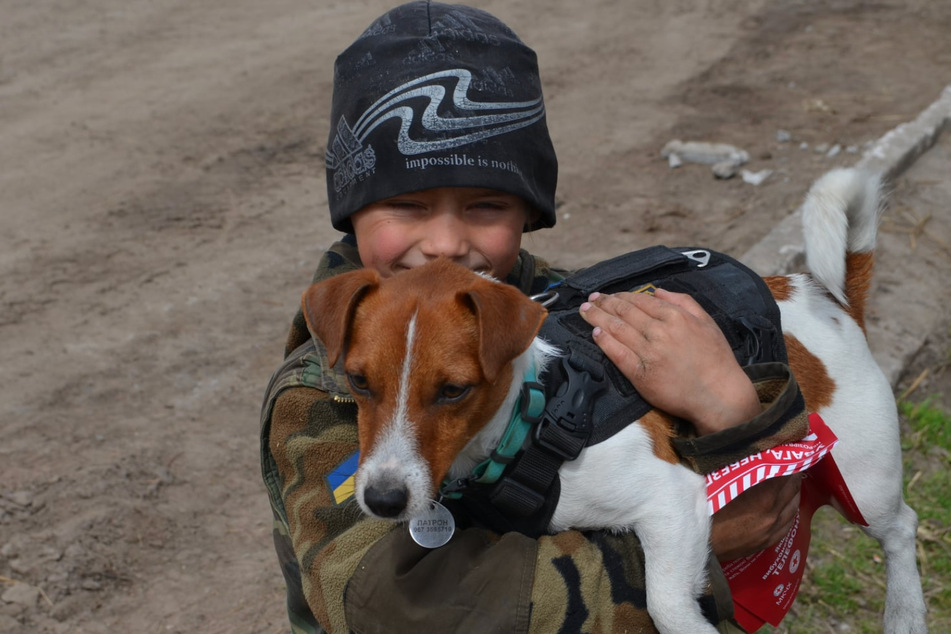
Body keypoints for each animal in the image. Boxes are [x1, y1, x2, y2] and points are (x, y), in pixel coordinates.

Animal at [306, 169, 928, 632]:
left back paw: (905, 612)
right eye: (358, 382)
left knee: (902, 527)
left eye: (454, 390)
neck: (529, 420)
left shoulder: (672, 501)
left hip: (865, 476)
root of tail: (828, 299)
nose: (382, 500)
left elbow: (667, 605)